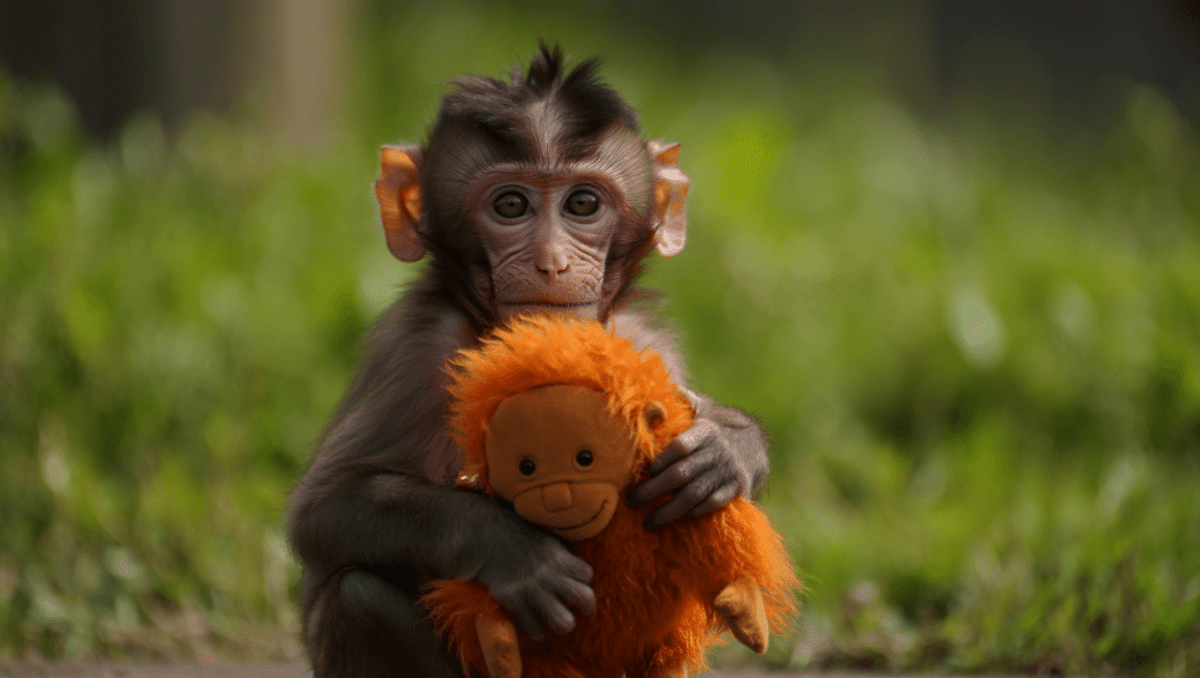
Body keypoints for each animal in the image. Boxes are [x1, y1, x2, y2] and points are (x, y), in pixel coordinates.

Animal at [285, 44, 771, 678]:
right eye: (510, 205)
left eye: (583, 203)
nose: (551, 261)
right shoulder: (418, 350)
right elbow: (324, 508)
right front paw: (514, 553)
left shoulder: (645, 343)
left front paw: (727, 448)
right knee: (358, 597)